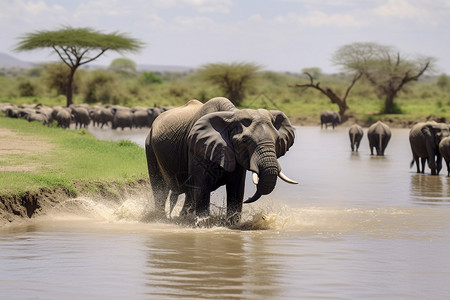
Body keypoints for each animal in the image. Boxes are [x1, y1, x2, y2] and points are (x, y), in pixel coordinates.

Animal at [145, 97, 298, 224]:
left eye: (277, 140)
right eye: (245, 141)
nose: (248, 199)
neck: (231, 115)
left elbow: (236, 188)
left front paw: (232, 224)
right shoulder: (197, 147)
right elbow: (201, 185)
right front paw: (203, 224)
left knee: (187, 194)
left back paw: (182, 217)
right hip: (149, 147)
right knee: (160, 187)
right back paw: (161, 218)